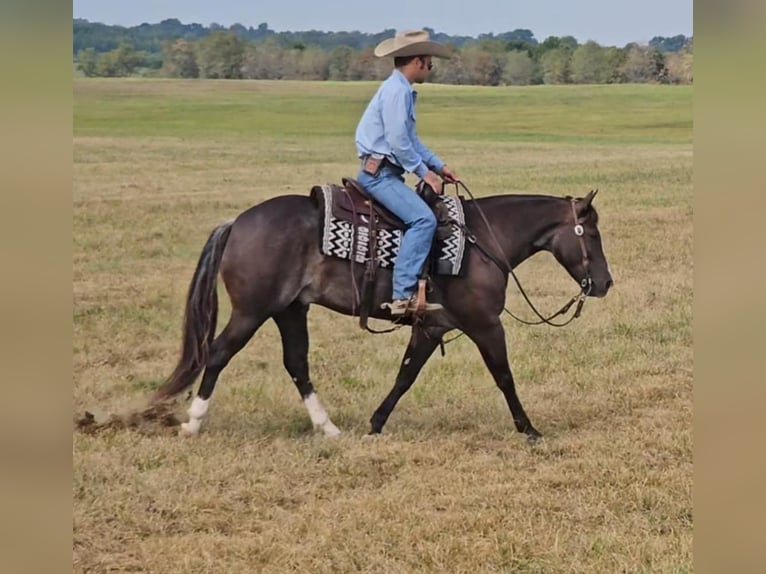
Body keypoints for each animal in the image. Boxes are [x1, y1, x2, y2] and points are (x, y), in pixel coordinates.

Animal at [151, 186, 613, 443]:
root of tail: (237, 223)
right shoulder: (485, 325)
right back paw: (192, 425)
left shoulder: (432, 327)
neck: (483, 239)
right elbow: (504, 376)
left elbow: (405, 376)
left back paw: (329, 429)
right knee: (217, 354)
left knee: (296, 364)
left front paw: (375, 423)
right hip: (252, 311)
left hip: (289, 310)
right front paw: (529, 430)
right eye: (591, 233)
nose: (605, 283)